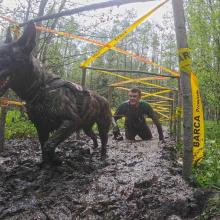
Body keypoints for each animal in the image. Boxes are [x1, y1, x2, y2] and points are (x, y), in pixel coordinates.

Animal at [0, 20, 111, 164]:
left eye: (5, 56)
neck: (41, 87)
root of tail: (104, 99)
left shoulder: (70, 122)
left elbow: (49, 144)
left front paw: (55, 160)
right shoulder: (41, 127)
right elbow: (44, 146)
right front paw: (46, 163)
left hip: (103, 125)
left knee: (104, 141)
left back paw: (102, 156)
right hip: (86, 126)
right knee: (93, 135)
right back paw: (94, 147)